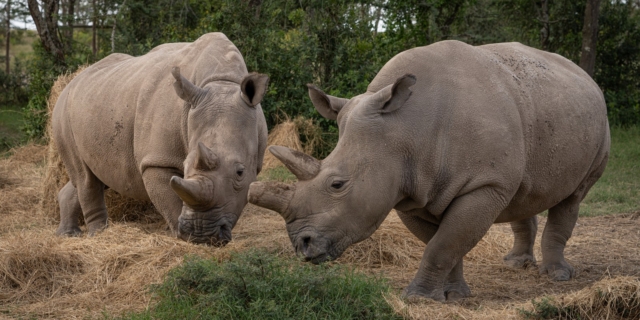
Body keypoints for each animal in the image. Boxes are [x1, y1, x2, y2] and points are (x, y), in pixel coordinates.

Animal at [52, 32, 268, 244]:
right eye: (185, 166)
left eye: (240, 172)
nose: (202, 235)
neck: (222, 82)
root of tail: (69, 83)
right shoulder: (156, 161)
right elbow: (170, 202)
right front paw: (182, 237)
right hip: (62, 113)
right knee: (86, 179)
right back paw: (99, 235)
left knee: (93, 176)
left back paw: (67, 234)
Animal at [246, 40, 608, 300]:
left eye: (337, 184)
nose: (302, 246)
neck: (404, 128)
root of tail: (585, 75)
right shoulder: (409, 189)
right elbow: (444, 242)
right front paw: (454, 295)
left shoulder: (484, 184)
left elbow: (444, 243)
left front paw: (418, 298)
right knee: (523, 191)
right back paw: (516, 265)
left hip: (597, 122)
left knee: (573, 197)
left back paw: (557, 276)